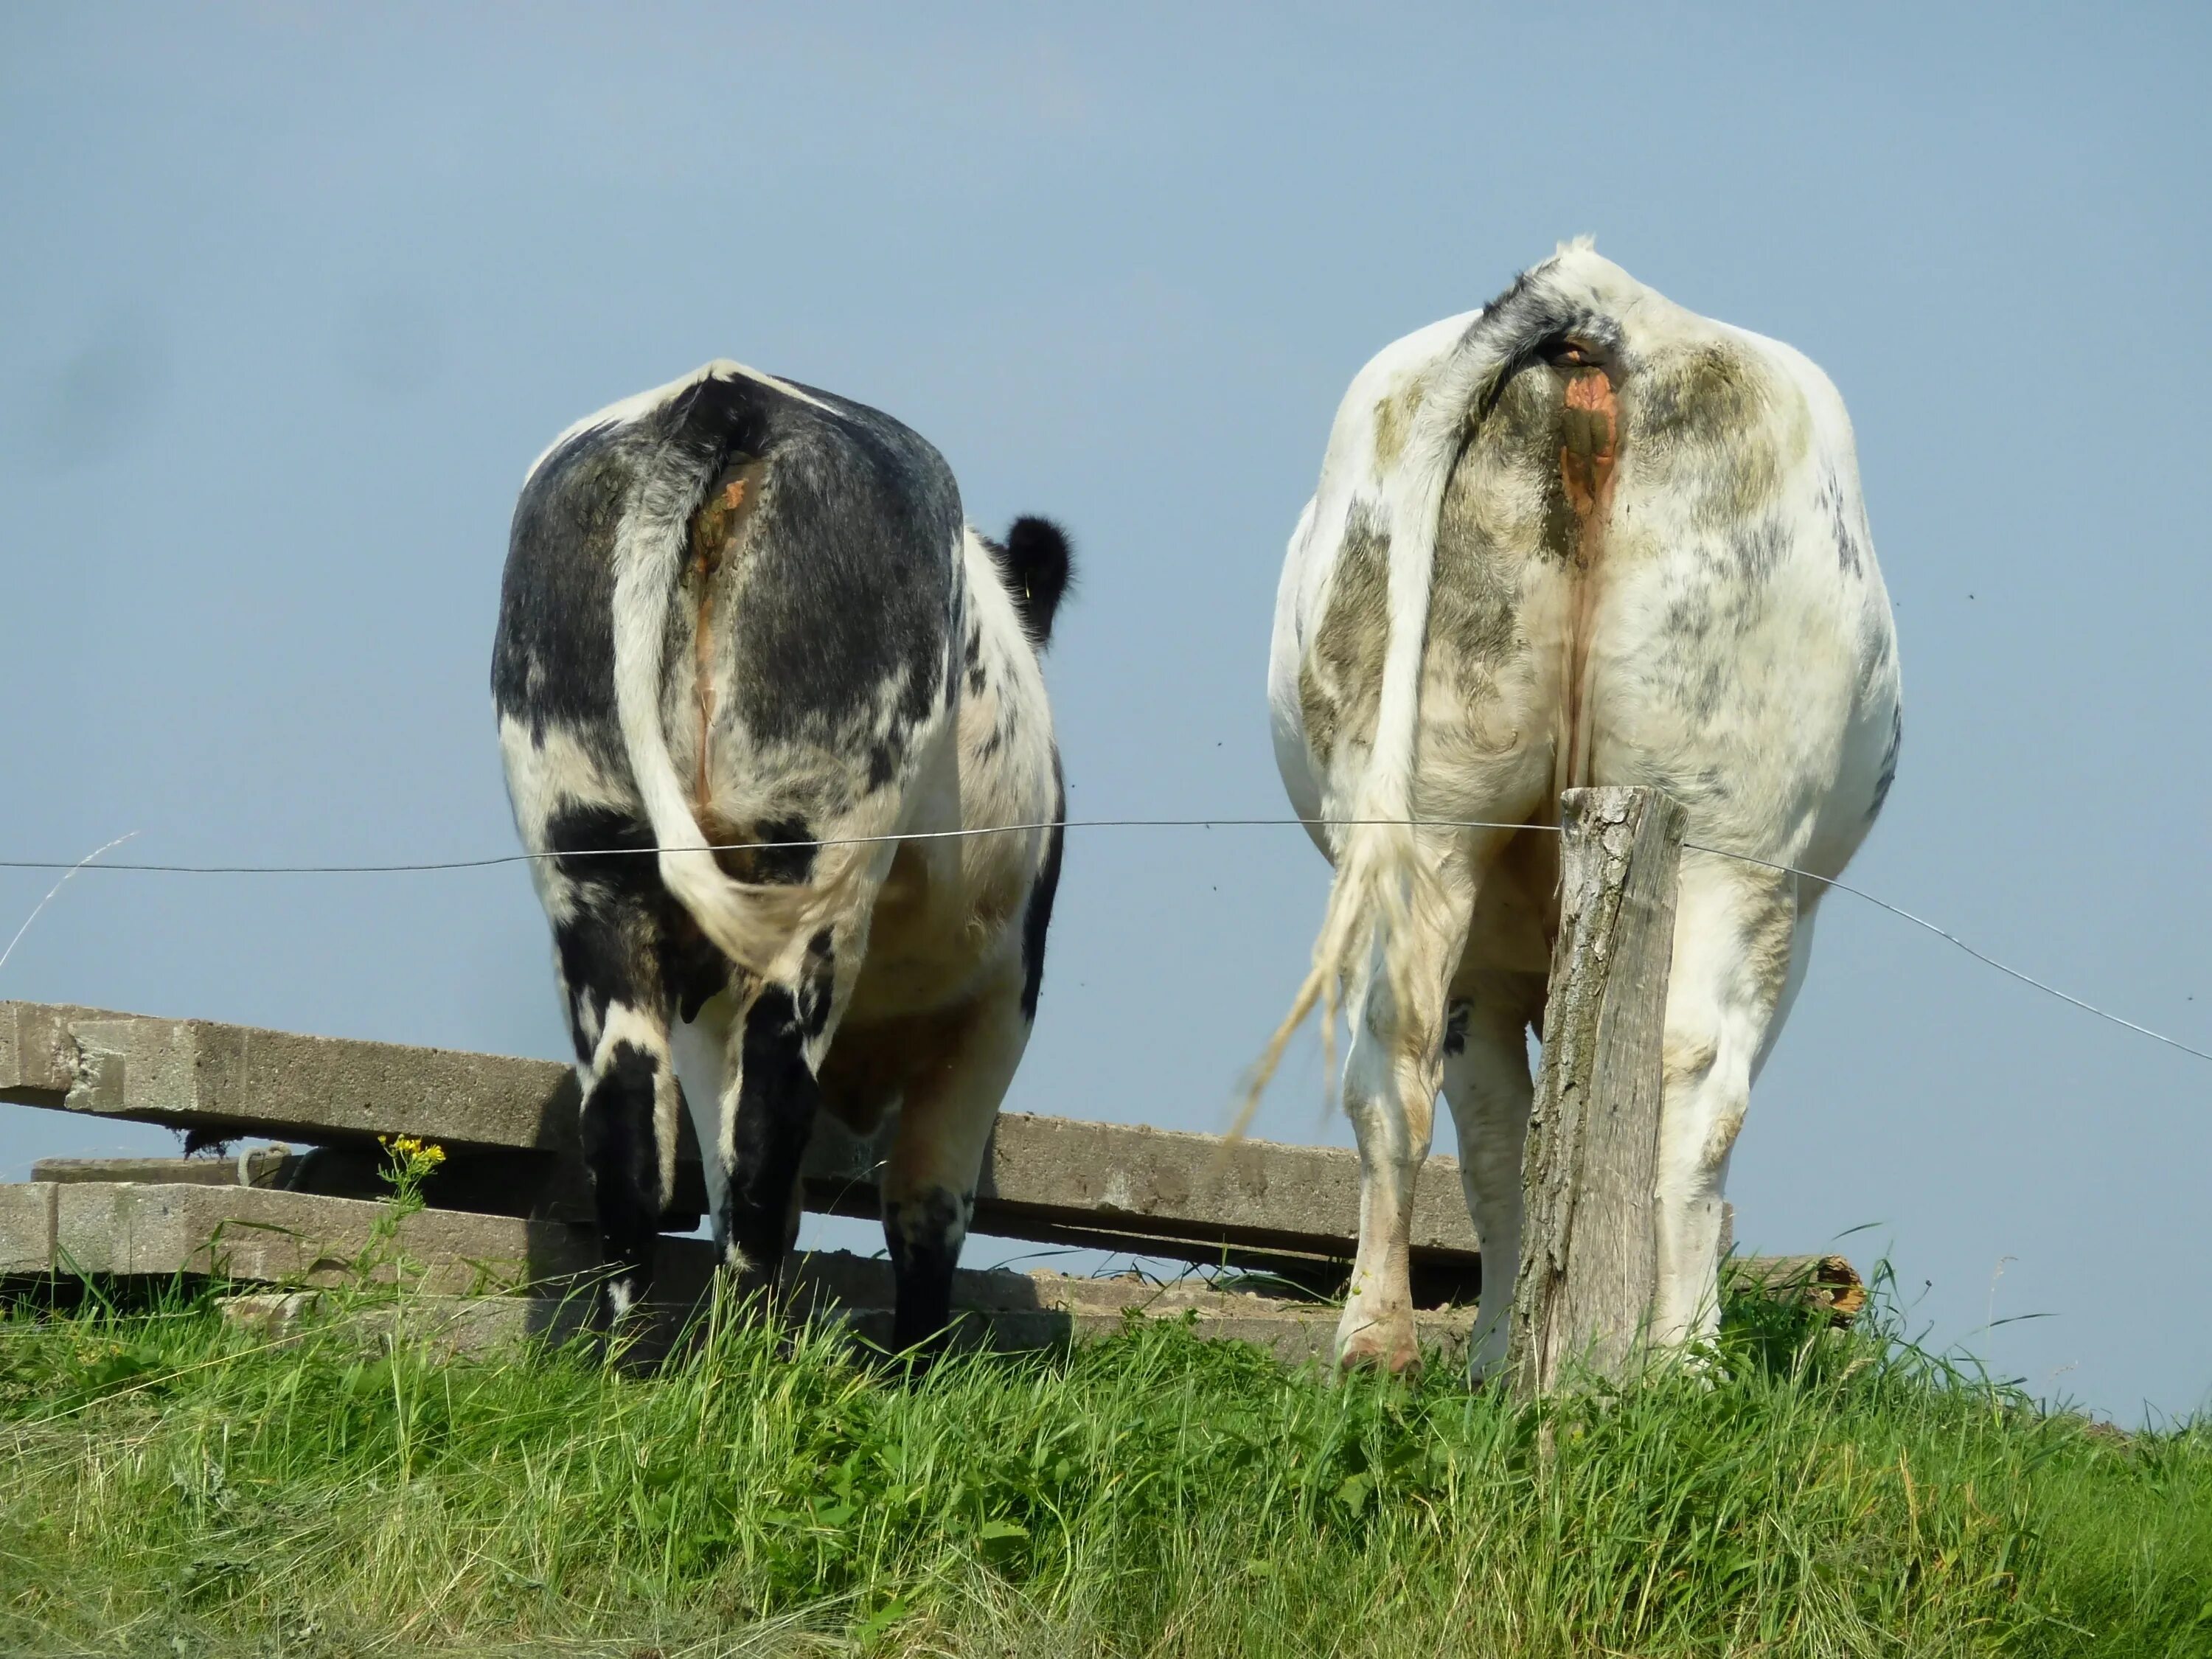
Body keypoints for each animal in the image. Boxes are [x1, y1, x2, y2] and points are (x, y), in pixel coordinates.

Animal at [491, 363, 1071, 1354]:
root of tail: (728, 393)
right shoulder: (1004, 997)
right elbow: (928, 1198)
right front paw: (917, 1360)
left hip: (587, 864)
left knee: (630, 1126)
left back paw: (625, 1358)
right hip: (811, 870)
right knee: (770, 1122)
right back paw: (749, 1357)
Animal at [1265, 240, 1902, 1380]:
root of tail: (1603, 300)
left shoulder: (1487, 960)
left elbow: (1499, 1135)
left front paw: (1497, 1347)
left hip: (1428, 807)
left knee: (1398, 1053)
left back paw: (1377, 1341)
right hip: (1730, 837)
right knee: (1693, 1081)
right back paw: (1682, 1360)